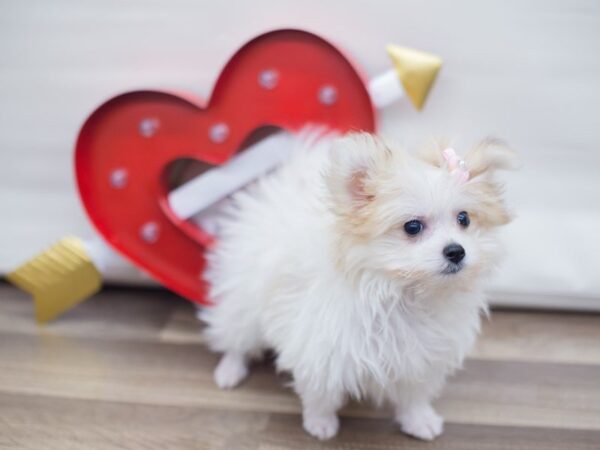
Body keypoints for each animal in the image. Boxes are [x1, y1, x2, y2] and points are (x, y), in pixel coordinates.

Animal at [203, 132, 516, 442]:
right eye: (412, 227)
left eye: (464, 219)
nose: (456, 251)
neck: (405, 294)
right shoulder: (319, 347)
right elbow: (321, 392)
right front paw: (320, 422)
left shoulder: (422, 355)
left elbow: (414, 393)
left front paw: (419, 419)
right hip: (244, 300)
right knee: (236, 338)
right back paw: (229, 370)